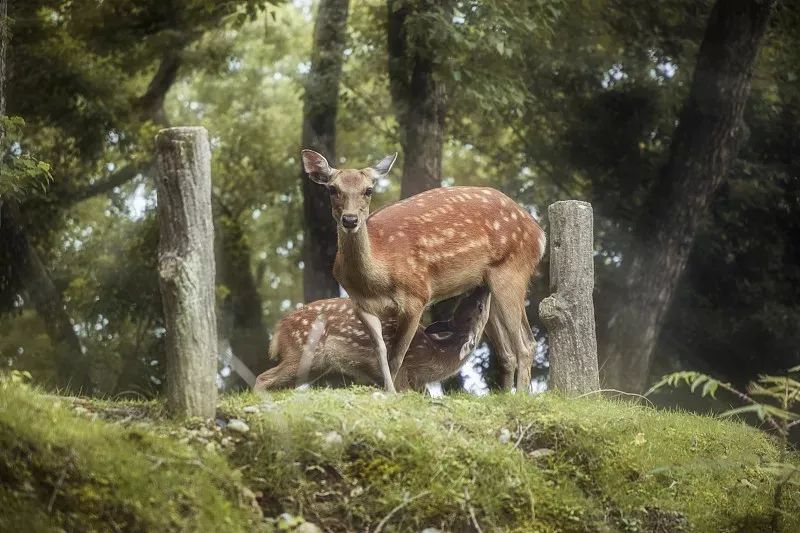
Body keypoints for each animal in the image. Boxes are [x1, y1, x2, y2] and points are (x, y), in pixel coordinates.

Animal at [253, 286, 490, 390]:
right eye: (479, 307)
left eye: (466, 301)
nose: (484, 288)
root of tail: (279, 328)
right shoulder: (403, 371)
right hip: (301, 350)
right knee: (263, 377)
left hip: (315, 365)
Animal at [304, 149, 548, 390]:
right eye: (332, 189)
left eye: (369, 190)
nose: (350, 219)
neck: (375, 279)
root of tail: (540, 234)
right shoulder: (360, 305)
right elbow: (381, 352)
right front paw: (386, 389)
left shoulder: (417, 296)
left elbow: (397, 357)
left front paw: (392, 393)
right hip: (489, 286)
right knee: (507, 352)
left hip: (512, 271)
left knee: (525, 344)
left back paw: (521, 394)